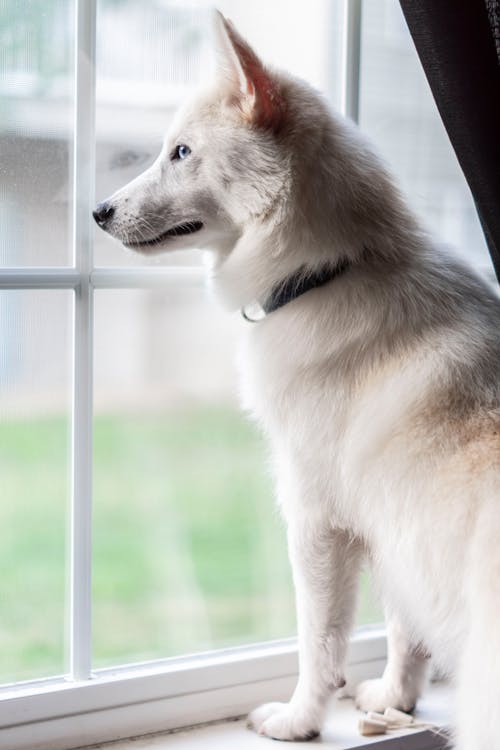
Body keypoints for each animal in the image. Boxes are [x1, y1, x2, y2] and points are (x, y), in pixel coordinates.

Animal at [94, 13, 500, 750]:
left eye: (181, 152)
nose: (99, 212)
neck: (328, 271)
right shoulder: (393, 530)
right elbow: (405, 632)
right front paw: (397, 699)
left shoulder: (318, 522)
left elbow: (321, 642)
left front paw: (299, 720)